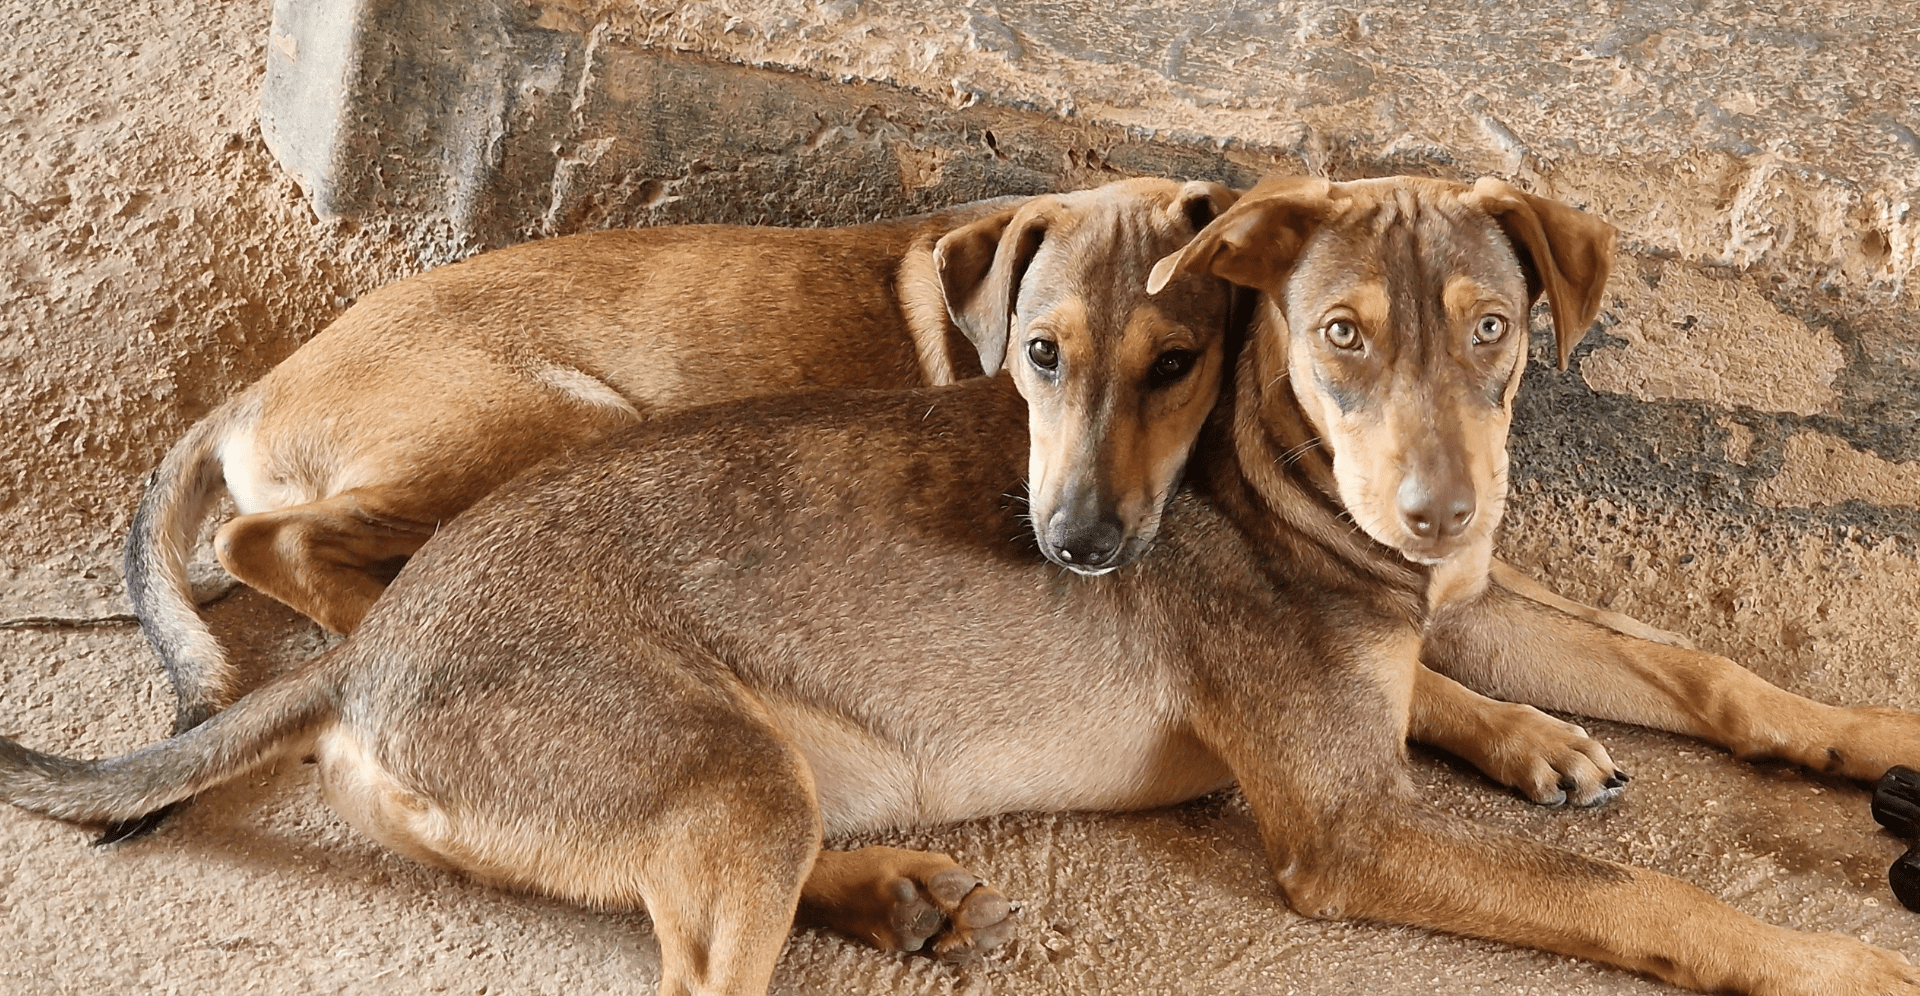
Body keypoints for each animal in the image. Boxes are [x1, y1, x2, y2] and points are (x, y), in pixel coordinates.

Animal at [19, 175, 1903, 994]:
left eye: (1497, 330)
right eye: (1342, 337)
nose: (1442, 513)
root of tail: (362, 667)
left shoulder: (1474, 601)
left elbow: (1703, 670)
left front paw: (1873, 736)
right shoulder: (1343, 830)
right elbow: (1643, 896)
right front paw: (1835, 961)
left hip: (738, 787)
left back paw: (885, 891)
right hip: (693, 729)